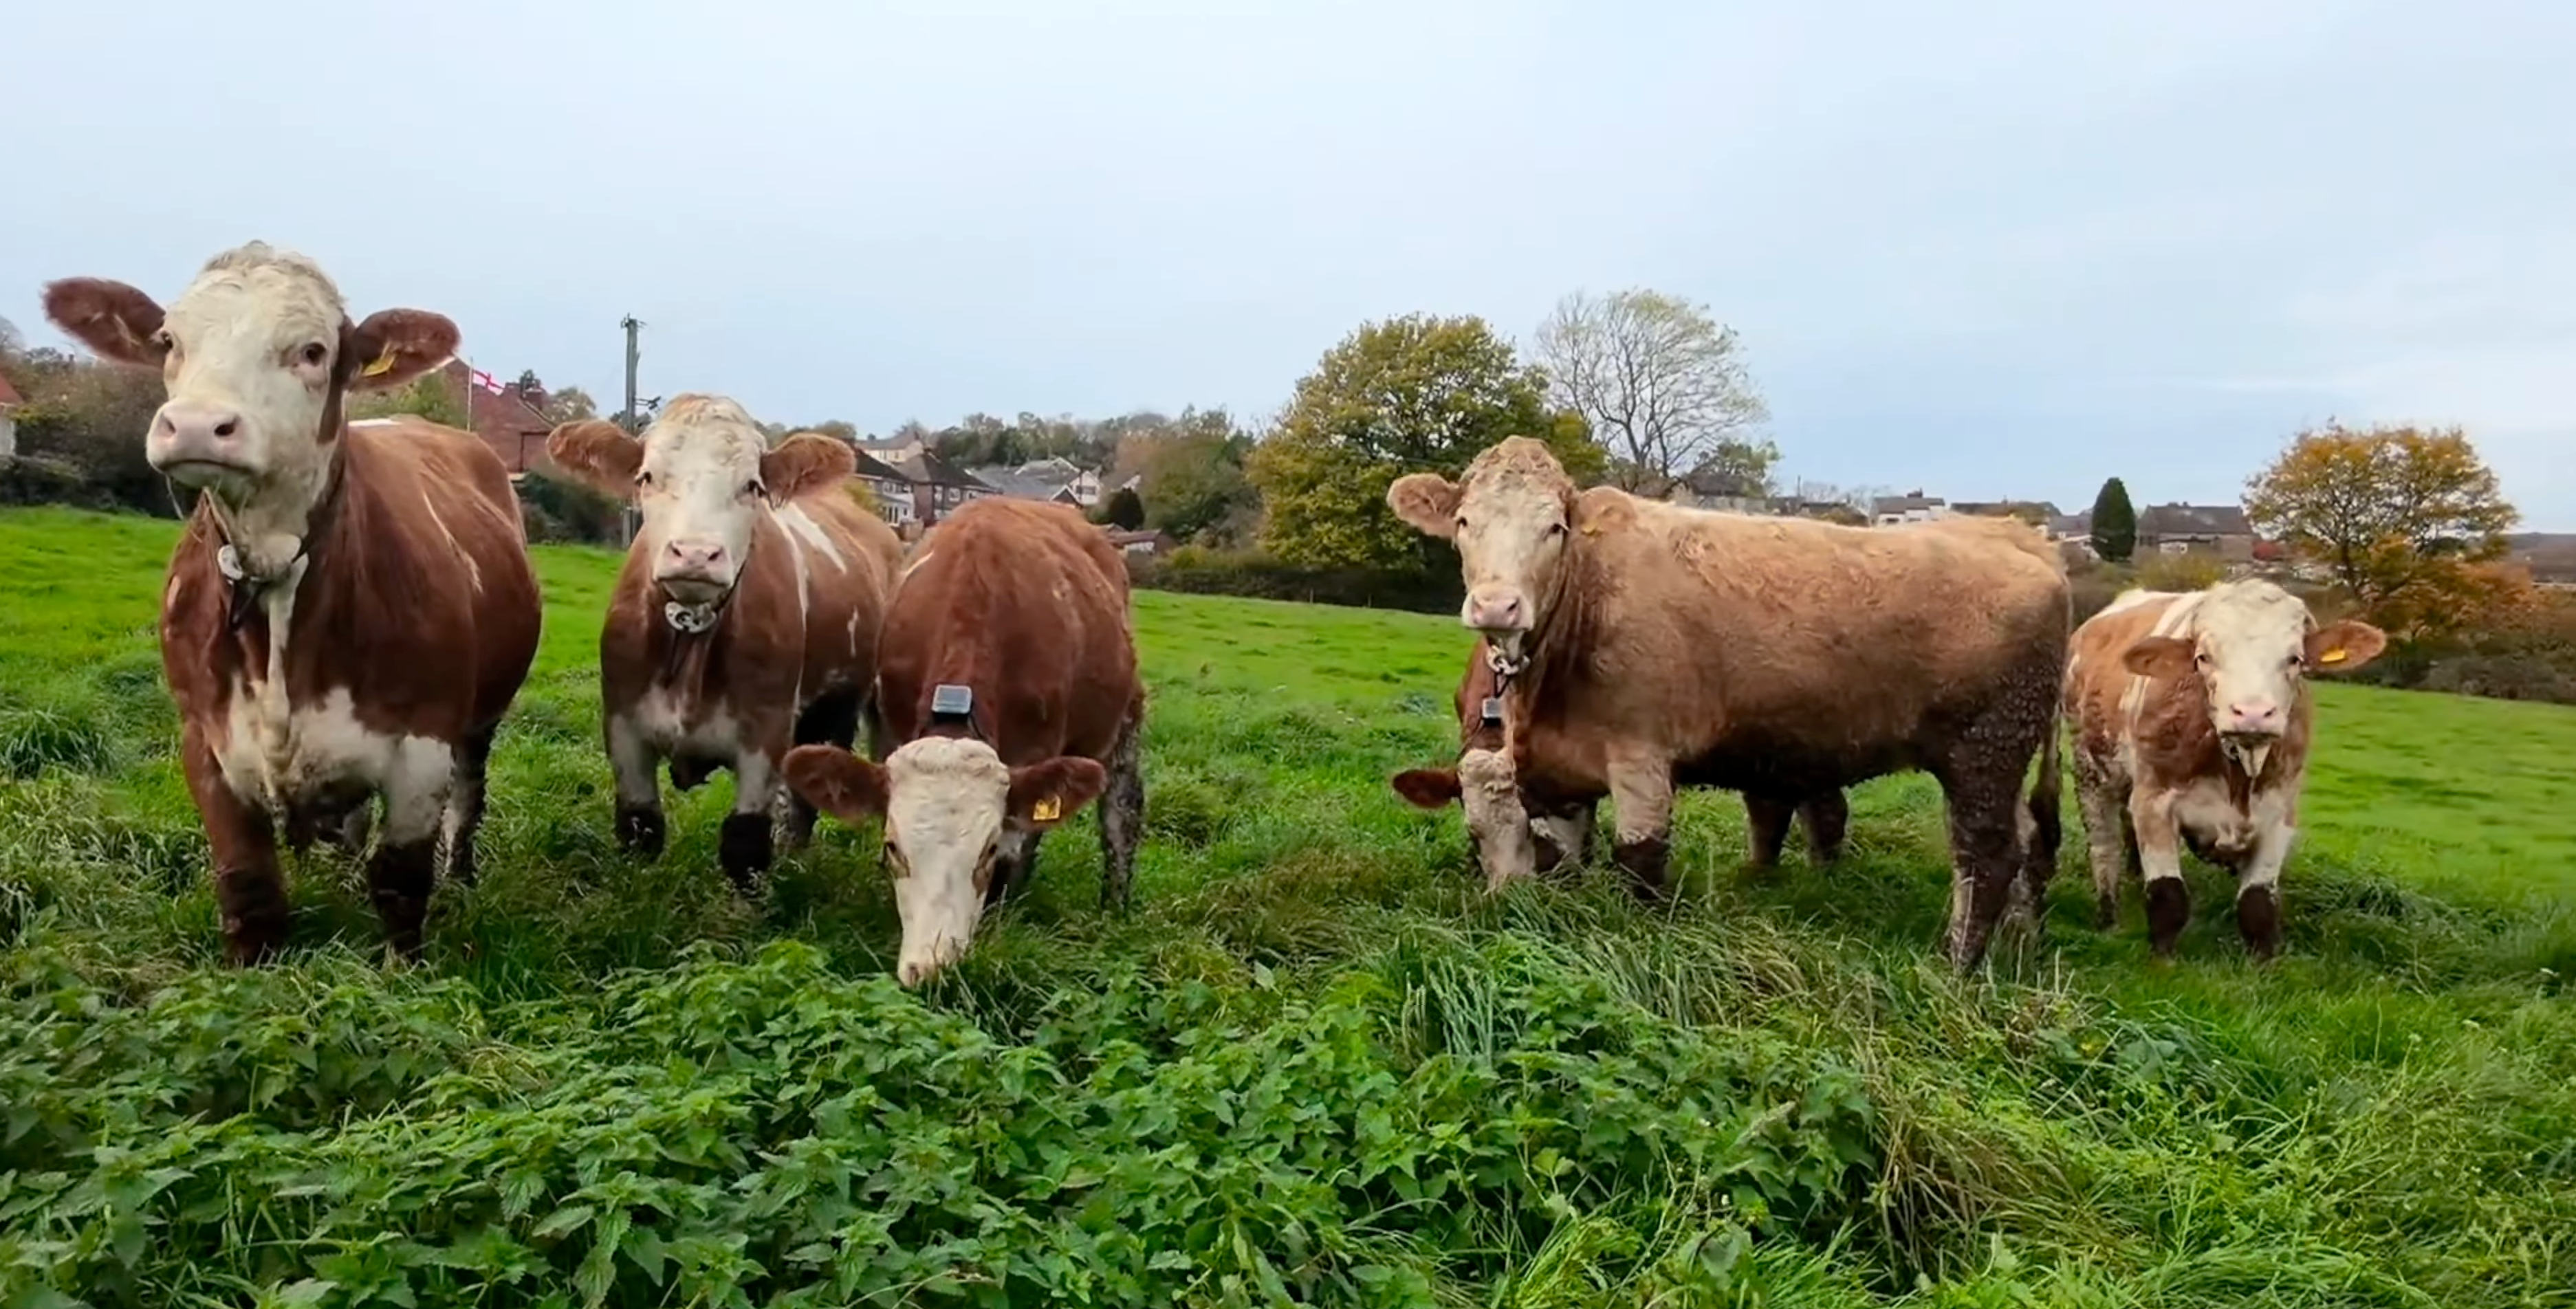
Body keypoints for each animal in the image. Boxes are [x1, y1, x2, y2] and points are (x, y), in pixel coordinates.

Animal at [40, 242, 542, 963]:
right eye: (169, 341)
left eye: (311, 351)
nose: (197, 425)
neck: (274, 574)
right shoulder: (206, 741)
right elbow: (249, 886)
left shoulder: (423, 743)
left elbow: (401, 883)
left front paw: (404, 973)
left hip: (480, 720)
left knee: (468, 800)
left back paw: (463, 878)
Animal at [543, 398, 907, 889]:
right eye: (647, 477)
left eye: (751, 485)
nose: (696, 554)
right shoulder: (623, 726)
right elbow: (640, 827)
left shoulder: (766, 733)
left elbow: (745, 845)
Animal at [779, 496, 1146, 986]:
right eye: (892, 846)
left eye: (986, 850)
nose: (931, 969)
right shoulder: (892, 730)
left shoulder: (1034, 753)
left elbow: (1014, 857)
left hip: (1126, 719)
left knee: (1120, 820)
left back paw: (1114, 908)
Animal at [2062, 579, 2386, 960]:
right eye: (2203, 657)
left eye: (2295, 659)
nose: (2252, 713)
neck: (2237, 772)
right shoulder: (2153, 803)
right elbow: (2168, 897)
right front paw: (2163, 961)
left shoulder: (2280, 814)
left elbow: (2257, 905)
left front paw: (2263, 964)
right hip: (2090, 771)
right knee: (2104, 847)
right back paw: (2108, 915)